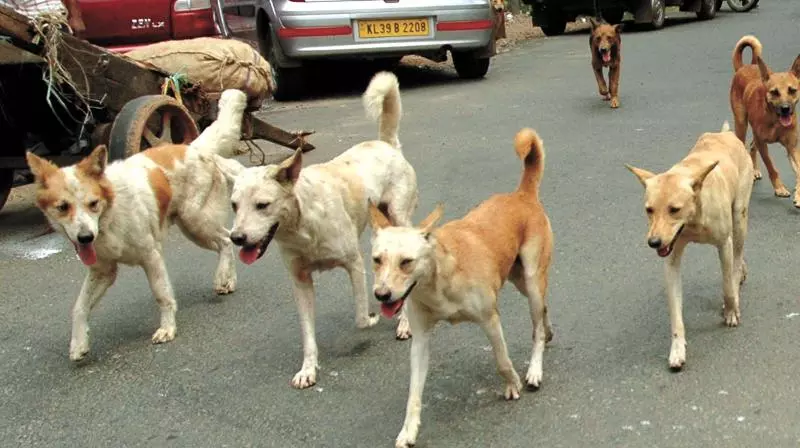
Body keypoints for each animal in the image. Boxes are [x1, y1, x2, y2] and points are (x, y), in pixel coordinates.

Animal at [227, 72, 418, 390]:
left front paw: (374, 318)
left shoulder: (354, 264)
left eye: (262, 205)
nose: (236, 238)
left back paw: (404, 322)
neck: (303, 225)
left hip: (400, 215)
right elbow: (307, 335)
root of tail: (385, 144)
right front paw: (308, 369)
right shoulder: (300, 281)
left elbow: (360, 318)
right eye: (234, 205)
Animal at [368, 128, 552, 446]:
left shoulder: (490, 320)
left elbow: (502, 360)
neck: (439, 280)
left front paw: (513, 383)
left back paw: (535, 369)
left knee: (537, 326)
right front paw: (408, 429)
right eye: (377, 260)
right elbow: (414, 393)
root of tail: (521, 195)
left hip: (530, 281)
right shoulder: (420, 339)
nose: (382, 295)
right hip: (520, 280)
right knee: (544, 313)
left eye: (406, 262)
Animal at [628, 121, 752, 372]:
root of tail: (726, 134)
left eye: (674, 209)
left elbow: (727, 285)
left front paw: (731, 309)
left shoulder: (724, 244)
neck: (694, 218)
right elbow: (676, 314)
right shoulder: (671, 258)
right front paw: (677, 348)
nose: (654, 242)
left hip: (739, 217)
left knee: (737, 255)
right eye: (649, 210)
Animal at [732, 35, 800, 206]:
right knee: (744, 144)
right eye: (774, 92)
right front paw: (779, 188)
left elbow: (799, 171)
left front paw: (799, 195)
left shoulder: (792, 147)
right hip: (741, 125)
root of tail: (744, 67)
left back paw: (755, 170)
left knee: (751, 146)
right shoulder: (763, 144)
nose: (785, 108)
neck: (775, 121)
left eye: (792, 90)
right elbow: (771, 167)